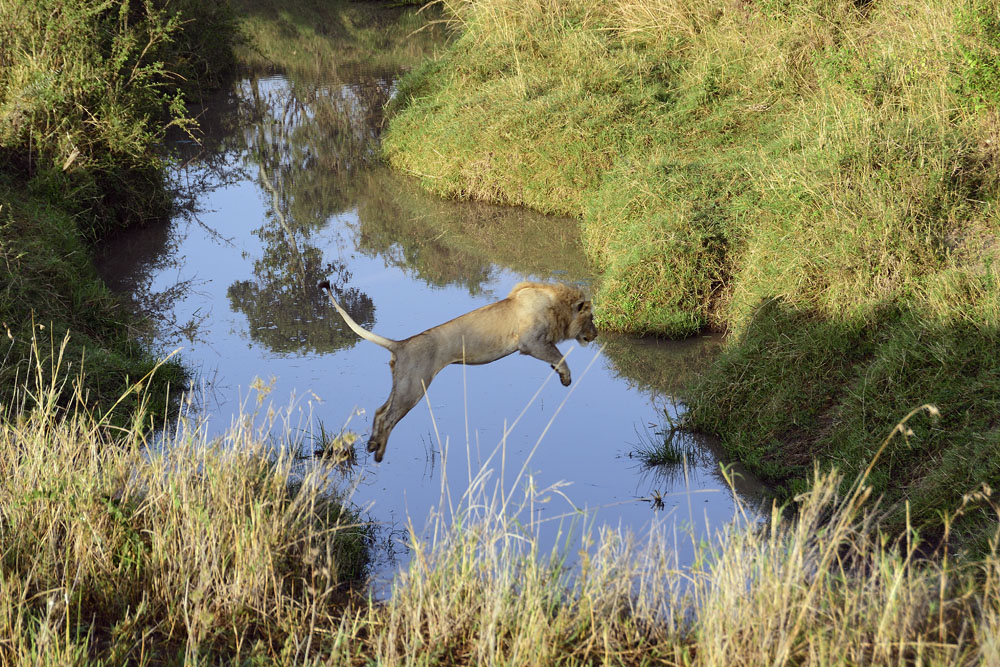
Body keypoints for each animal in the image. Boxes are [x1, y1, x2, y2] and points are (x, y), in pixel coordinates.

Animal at [318, 280, 598, 462]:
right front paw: (566, 376)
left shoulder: (539, 343)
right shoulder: (531, 342)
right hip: (414, 386)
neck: (557, 306)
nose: (596, 334)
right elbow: (560, 356)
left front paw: (558, 373)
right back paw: (378, 452)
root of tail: (401, 344)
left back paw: (373, 443)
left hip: (403, 383)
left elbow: (556, 358)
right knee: (388, 417)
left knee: (379, 411)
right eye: (592, 318)